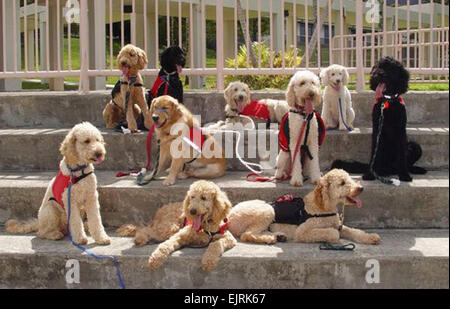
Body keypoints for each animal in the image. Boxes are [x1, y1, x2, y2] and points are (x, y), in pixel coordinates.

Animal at [230, 168, 382, 245]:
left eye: (350, 178)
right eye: (342, 183)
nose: (361, 188)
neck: (323, 206)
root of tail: (229, 215)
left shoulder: (337, 224)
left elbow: (353, 231)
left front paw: (370, 237)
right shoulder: (302, 232)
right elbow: (332, 233)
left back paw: (279, 236)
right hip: (267, 210)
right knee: (246, 234)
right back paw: (269, 239)